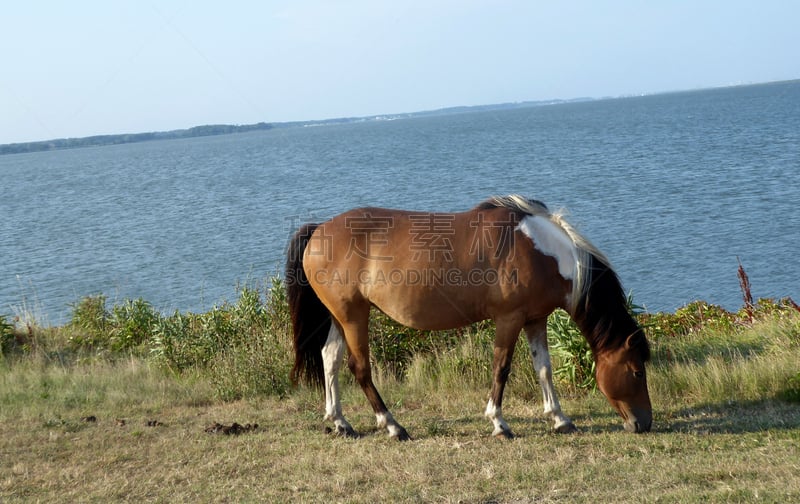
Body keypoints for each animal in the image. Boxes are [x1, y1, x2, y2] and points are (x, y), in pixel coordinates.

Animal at [286, 195, 648, 440]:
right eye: (635, 370)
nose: (644, 423)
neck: (541, 251)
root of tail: (318, 231)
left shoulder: (535, 319)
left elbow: (543, 369)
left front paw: (560, 418)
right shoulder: (509, 318)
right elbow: (502, 368)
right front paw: (499, 423)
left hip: (340, 316)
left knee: (330, 359)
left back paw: (340, 421)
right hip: (354, 317)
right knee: (359, 368)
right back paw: (392, 425)